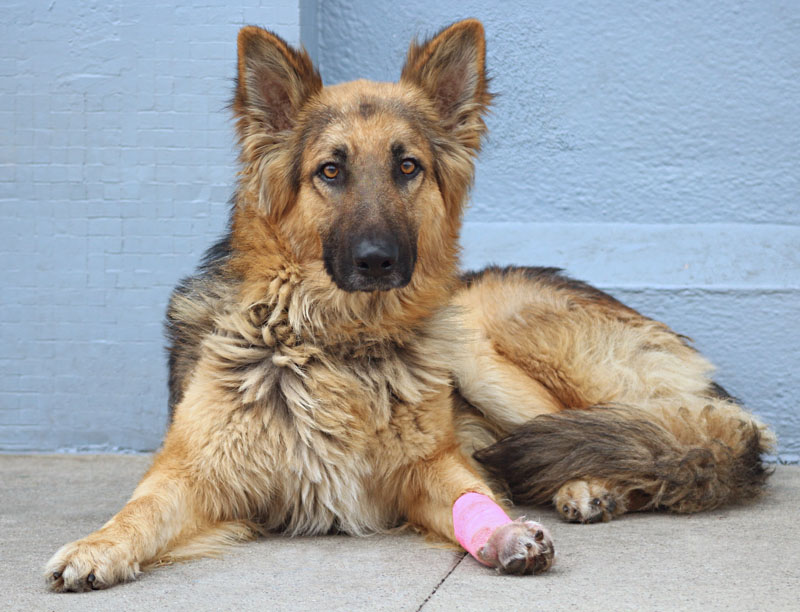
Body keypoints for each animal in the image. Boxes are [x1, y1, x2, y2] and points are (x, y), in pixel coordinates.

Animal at [45, 19, 774, 591]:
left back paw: (590, 484)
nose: (377, 261)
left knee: (616, 429)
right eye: (330, 171)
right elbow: (140, 511)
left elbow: (471, 493)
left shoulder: (430, 467)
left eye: (407, 167)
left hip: (482, 340)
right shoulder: (194, 471)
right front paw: (98, 546)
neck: (334, 342)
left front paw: (504, 534)